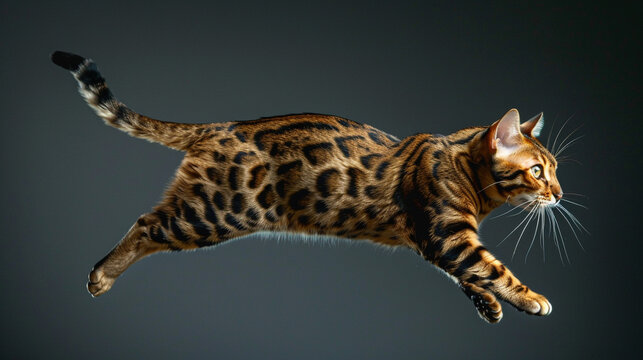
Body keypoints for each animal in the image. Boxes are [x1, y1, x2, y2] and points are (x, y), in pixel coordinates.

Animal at [52, 50, 560, 324]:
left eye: (554, 170)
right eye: (538, 171)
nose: (557, 194)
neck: (467, 173)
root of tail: (219, 125)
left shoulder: (429, 238)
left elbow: (466, 274)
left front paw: (487, 303)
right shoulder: (446, 233)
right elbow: (489, 266)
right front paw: (530, 297)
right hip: (217, 210)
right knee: (146, 225)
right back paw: (102, 275)